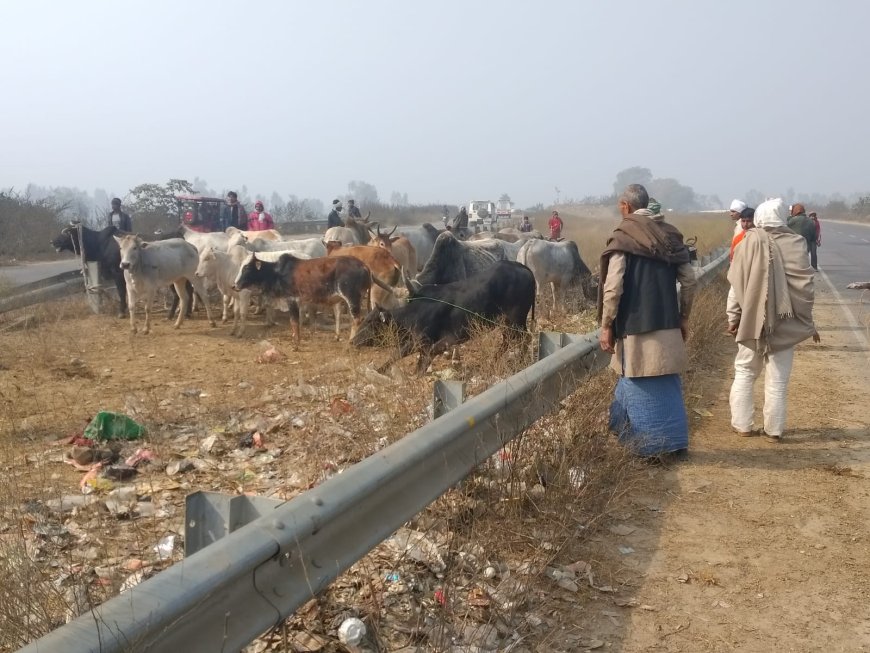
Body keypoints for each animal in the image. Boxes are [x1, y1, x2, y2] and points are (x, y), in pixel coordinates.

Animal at [350, 258, 536, 372]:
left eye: (370, 322)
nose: (352, 341)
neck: (414, 312)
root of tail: (523, 268)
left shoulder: (446, 339)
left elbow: (426, 358)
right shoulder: (416, 342)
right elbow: (397, 355)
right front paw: (379, 371)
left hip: (516, 319)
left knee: (524, 337)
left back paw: (519, 360)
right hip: (508, 323)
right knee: (509, 340)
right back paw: (494, 361)